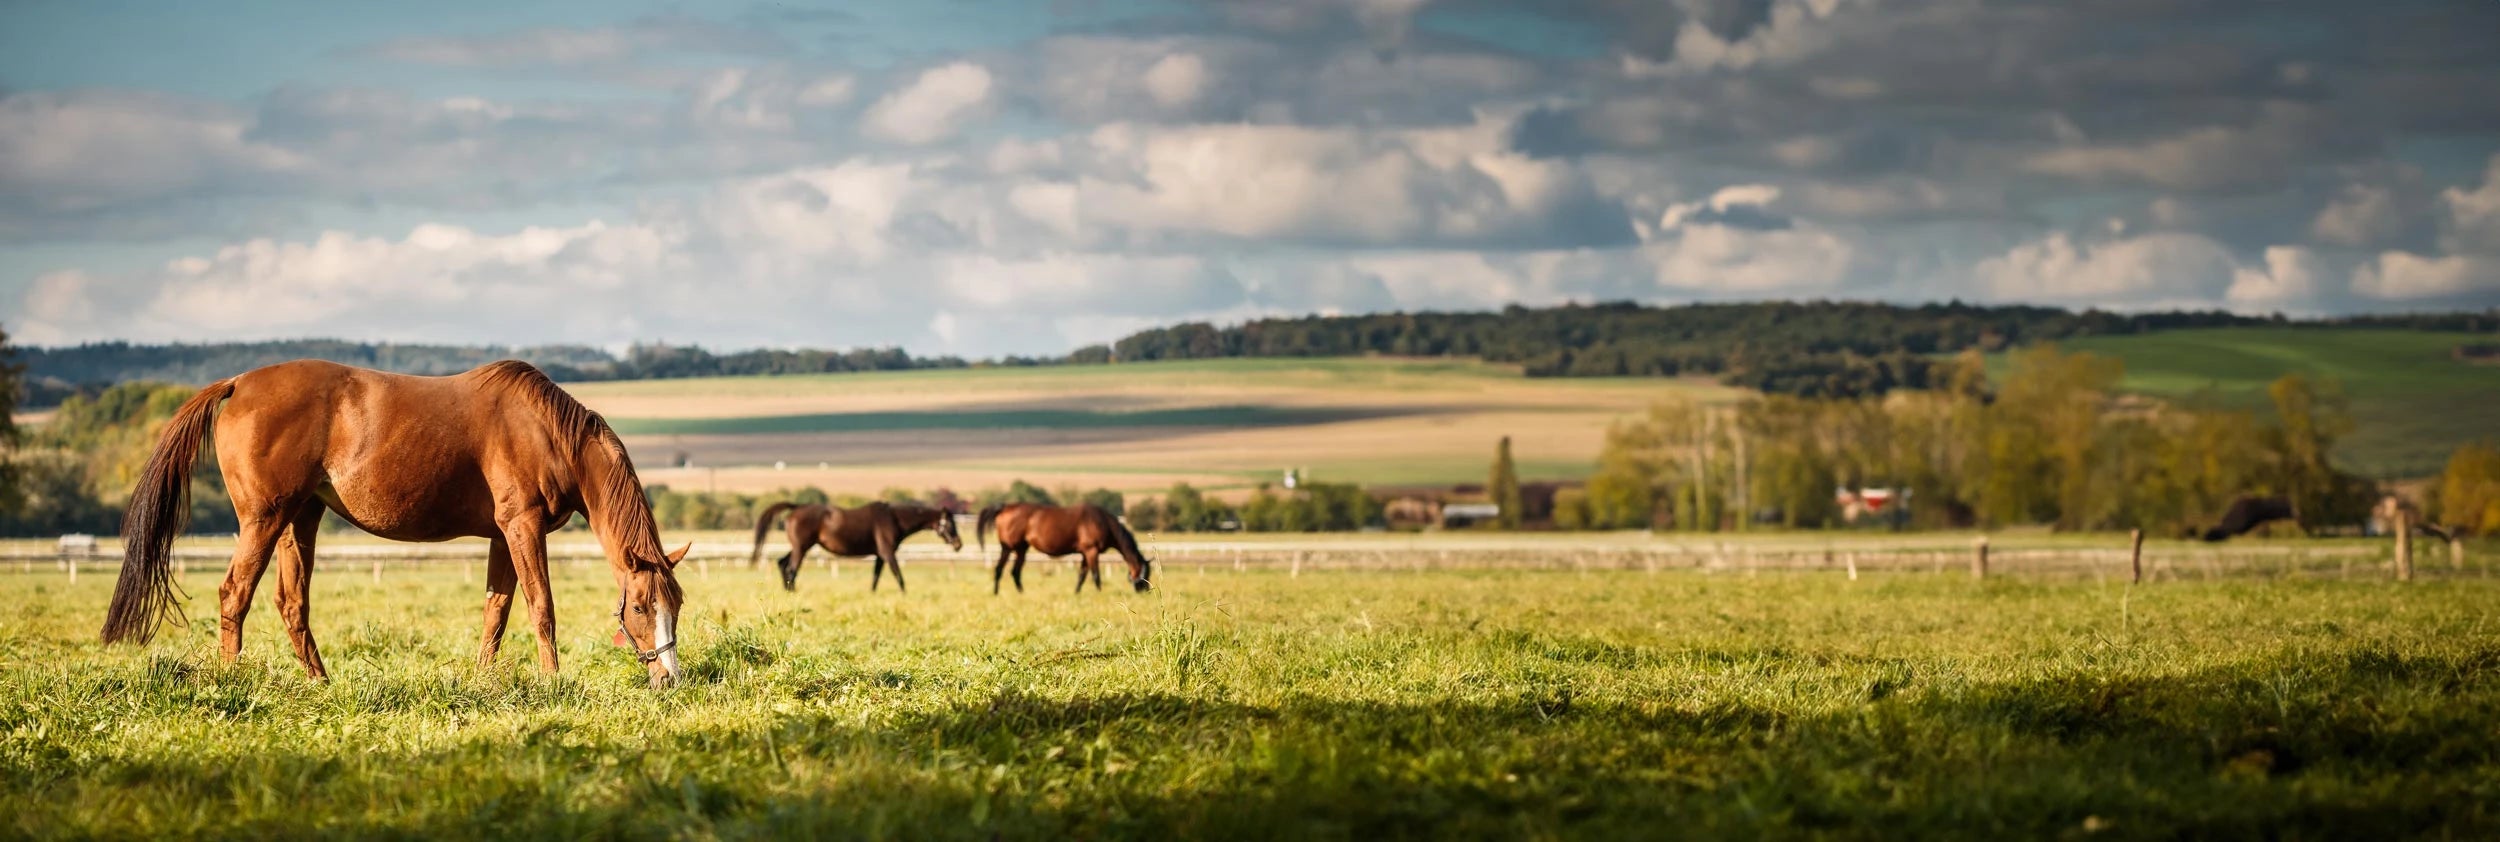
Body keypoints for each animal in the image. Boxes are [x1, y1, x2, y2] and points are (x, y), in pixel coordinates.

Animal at [98, 357, 690, 684]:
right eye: (640, 607)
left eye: (677, 606)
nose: (669, 679)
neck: (546, 432)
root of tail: (239, 383)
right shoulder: (523, 527)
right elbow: (540, 607)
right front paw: (552, 682)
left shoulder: (503, 536)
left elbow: (495, 612)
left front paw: (484, 682)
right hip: (264, 519)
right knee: (234, 593)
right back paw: (230, 681)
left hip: (299, 519)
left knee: (291, 604)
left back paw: (321, 682)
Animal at [745, 499, 960, 589]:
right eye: (950, 523)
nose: (959, 544)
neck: (894, 519)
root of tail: (796, 507)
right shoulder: (888, 552)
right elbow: (898, 576)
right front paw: (904, 595)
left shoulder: (879, 555)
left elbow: (875, 578)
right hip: (802, 547)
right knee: (791, 569)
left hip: (802, 546)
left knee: (782, 563)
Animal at [975, 502, 1150, 594]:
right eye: (1145, 573)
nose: (1145, 590)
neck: (1103, 522)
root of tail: (1004, 507)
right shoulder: (1091, 551)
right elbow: (1095, 575)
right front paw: (1099, 592)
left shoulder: (1085, 553)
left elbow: (1082, 575)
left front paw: (1076, 593)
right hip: (1008, 547)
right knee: (999, 569)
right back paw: (996, 593)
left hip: (1021, 549)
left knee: (1015, 571)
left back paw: (1021, 593)